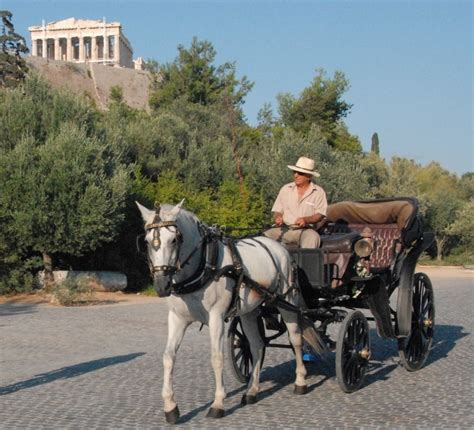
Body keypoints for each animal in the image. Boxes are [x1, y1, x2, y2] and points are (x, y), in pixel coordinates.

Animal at [136, 201, 318, 424]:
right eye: (146, 242)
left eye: (174, 240)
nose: (162, 286)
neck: (203, 264)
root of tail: (280, 248)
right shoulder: (177, 319)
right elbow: (168, 357)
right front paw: (170, 407)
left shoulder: (216, 318)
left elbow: (217, 358)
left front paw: (218, 404)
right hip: (249, 311)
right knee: (256, 345)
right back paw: (251, 391)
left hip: (287, 301)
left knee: (296, 339)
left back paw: (300, 381)